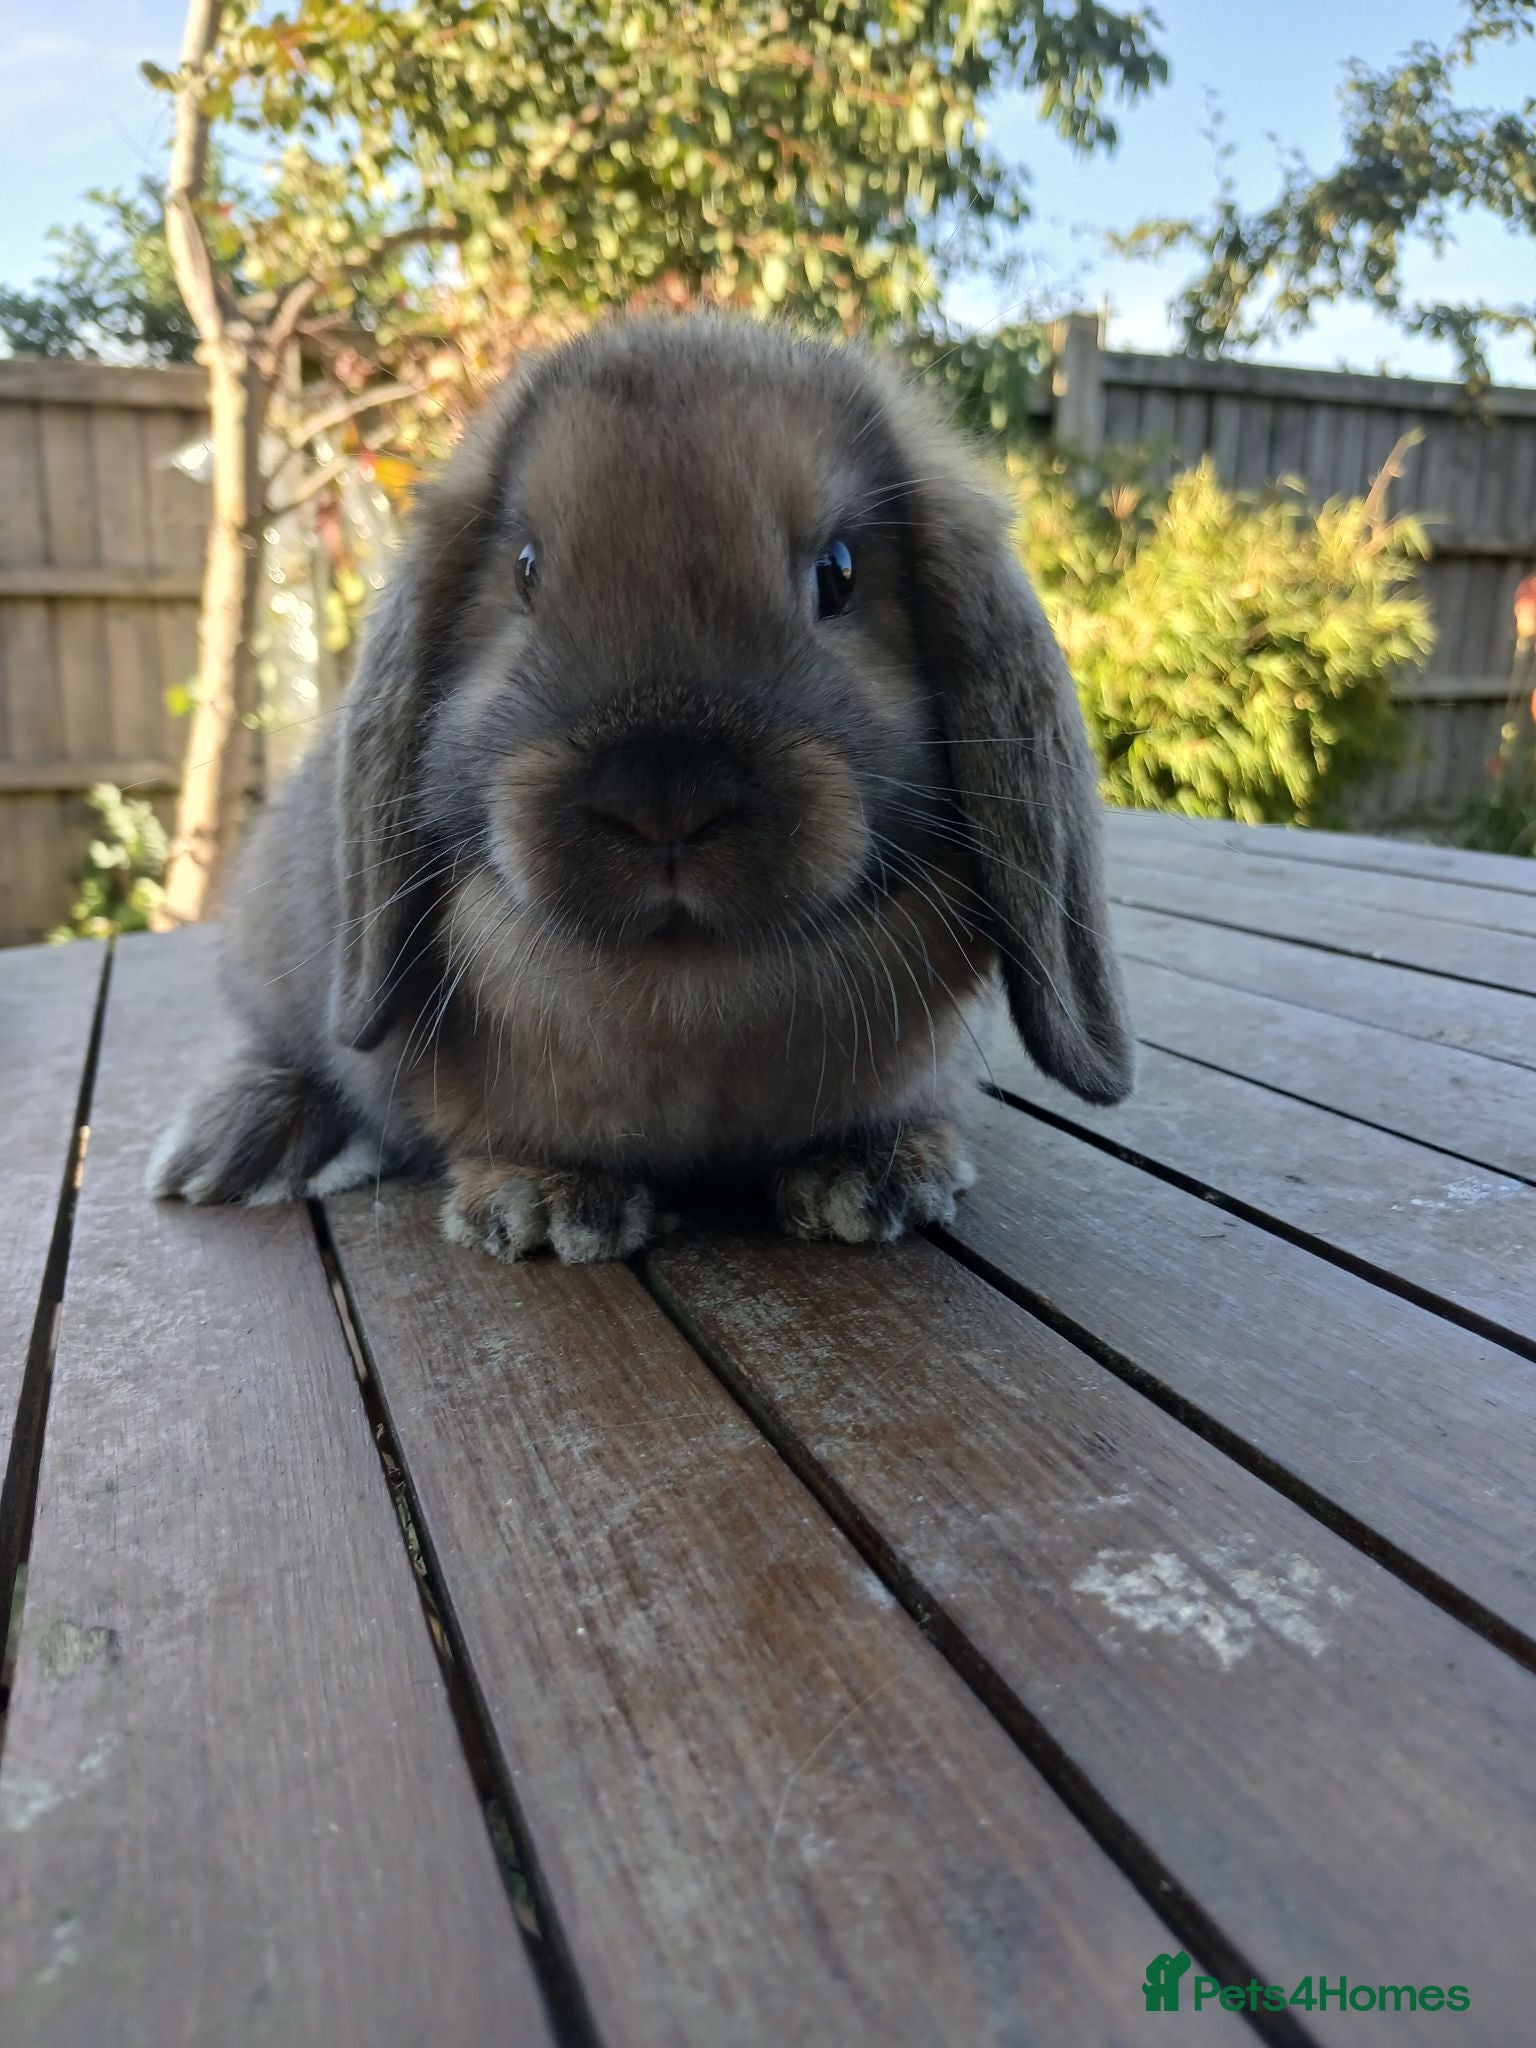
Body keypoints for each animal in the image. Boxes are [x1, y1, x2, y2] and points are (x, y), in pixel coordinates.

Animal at [149, 312, 1133, 1262]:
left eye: (839, 574)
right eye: (526, 570)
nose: (666, 797)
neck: (686, 997)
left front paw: (874, 1177)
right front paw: (545, 1205)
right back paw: (235, 1145)